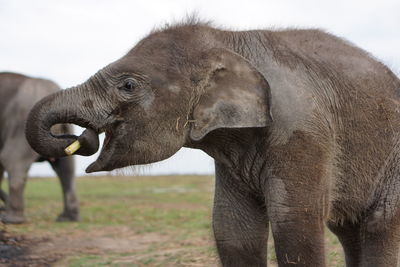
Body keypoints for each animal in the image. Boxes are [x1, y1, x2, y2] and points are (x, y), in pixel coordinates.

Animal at [0, 72, 79, 225]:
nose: (2, 208)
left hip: (21, 122)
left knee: (12, 159)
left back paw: (11, 220)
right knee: (66, 167)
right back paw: (67, 219)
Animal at [25, 21, 400, 267]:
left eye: (128, 85)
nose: (77, 136)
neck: (230, 40)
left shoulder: (302, 132)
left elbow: (295, 225)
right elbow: (233, 229)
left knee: (379, 227)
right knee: (348, 229)